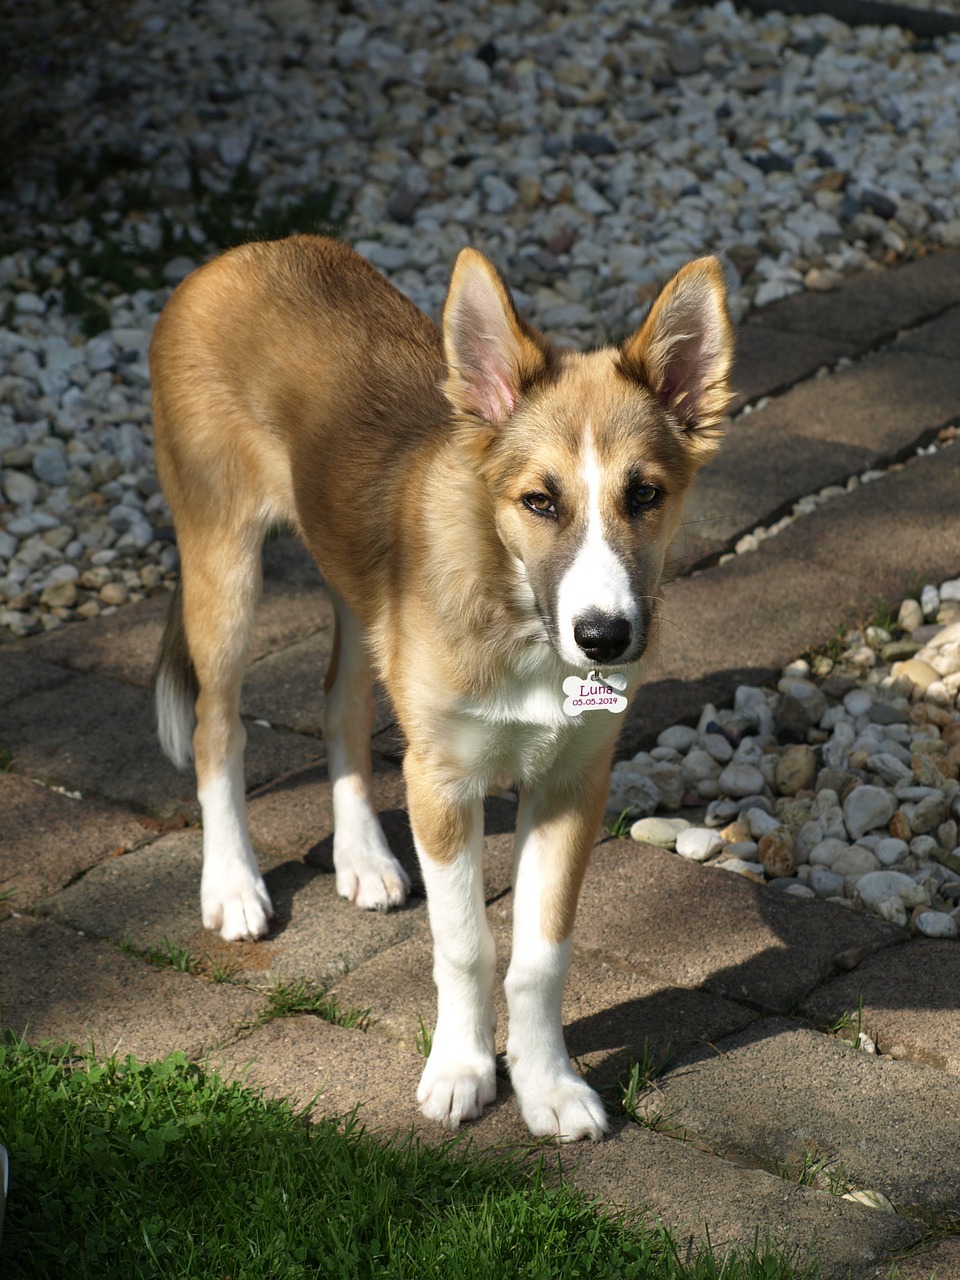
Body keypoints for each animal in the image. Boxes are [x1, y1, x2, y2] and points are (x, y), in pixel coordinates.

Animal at [152, 238, 737, 1141]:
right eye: (540, 501)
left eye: (645, 494)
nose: (604, 637)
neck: (520, 618)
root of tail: (251, 250)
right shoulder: (444, 781)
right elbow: (467, 944)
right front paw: (462, 1070)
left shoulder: (573, 782)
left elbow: (539, 954)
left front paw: (547, 1083)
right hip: (224, 562)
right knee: (220, 728)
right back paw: (234, 886)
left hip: (356, 592)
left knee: (342, 704)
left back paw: (362, 857)